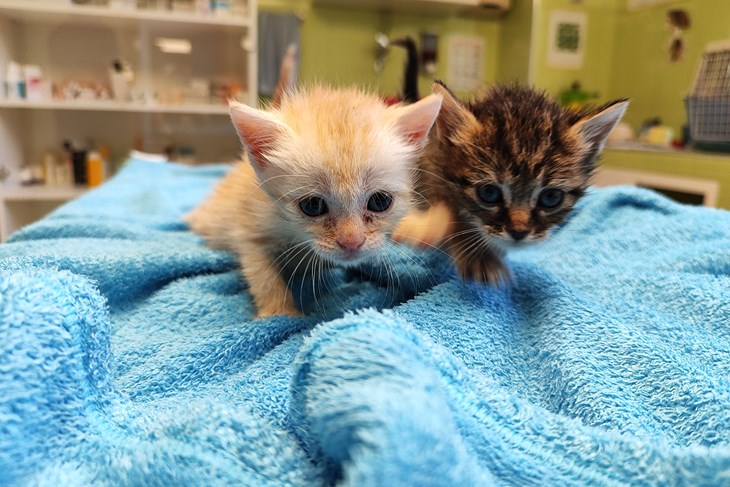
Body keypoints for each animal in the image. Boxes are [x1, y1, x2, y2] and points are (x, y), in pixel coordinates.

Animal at [185, 86, 440, 318]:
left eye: (379, 202)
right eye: (312, 206)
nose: (352, 243)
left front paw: (423, 227)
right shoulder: (249, 226)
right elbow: (262, 273)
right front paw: (279, 313)